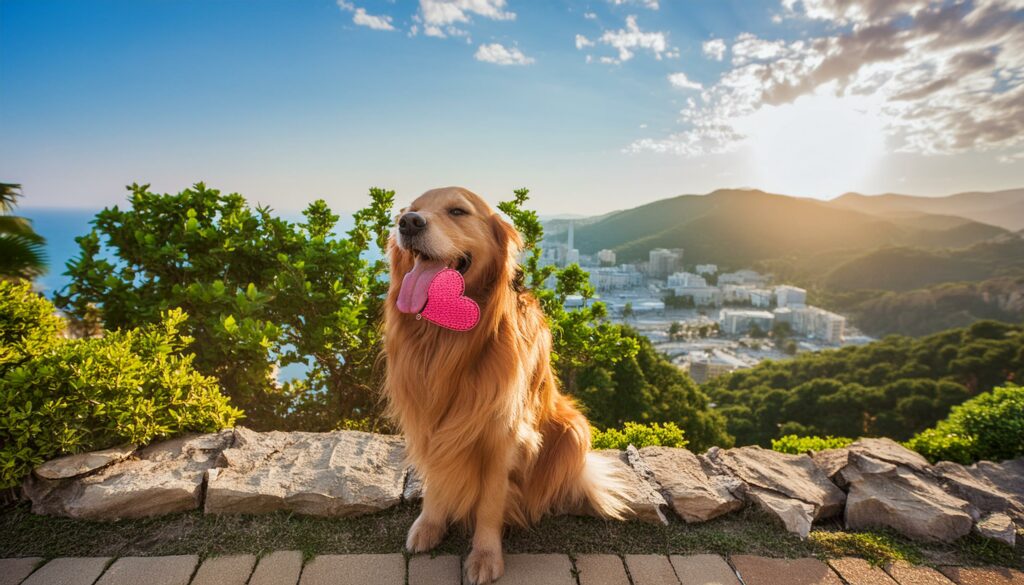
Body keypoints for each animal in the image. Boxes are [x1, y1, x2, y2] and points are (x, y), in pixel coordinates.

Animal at [382, 186, 622, 581]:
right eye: (411, 209)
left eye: (458, 211)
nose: (409, 223)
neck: (445, 339)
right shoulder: (428, 422)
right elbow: (436, 480)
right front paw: (430, 524)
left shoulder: (503, 434)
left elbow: (491, 501)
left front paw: (485, 555)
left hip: (572, 428)